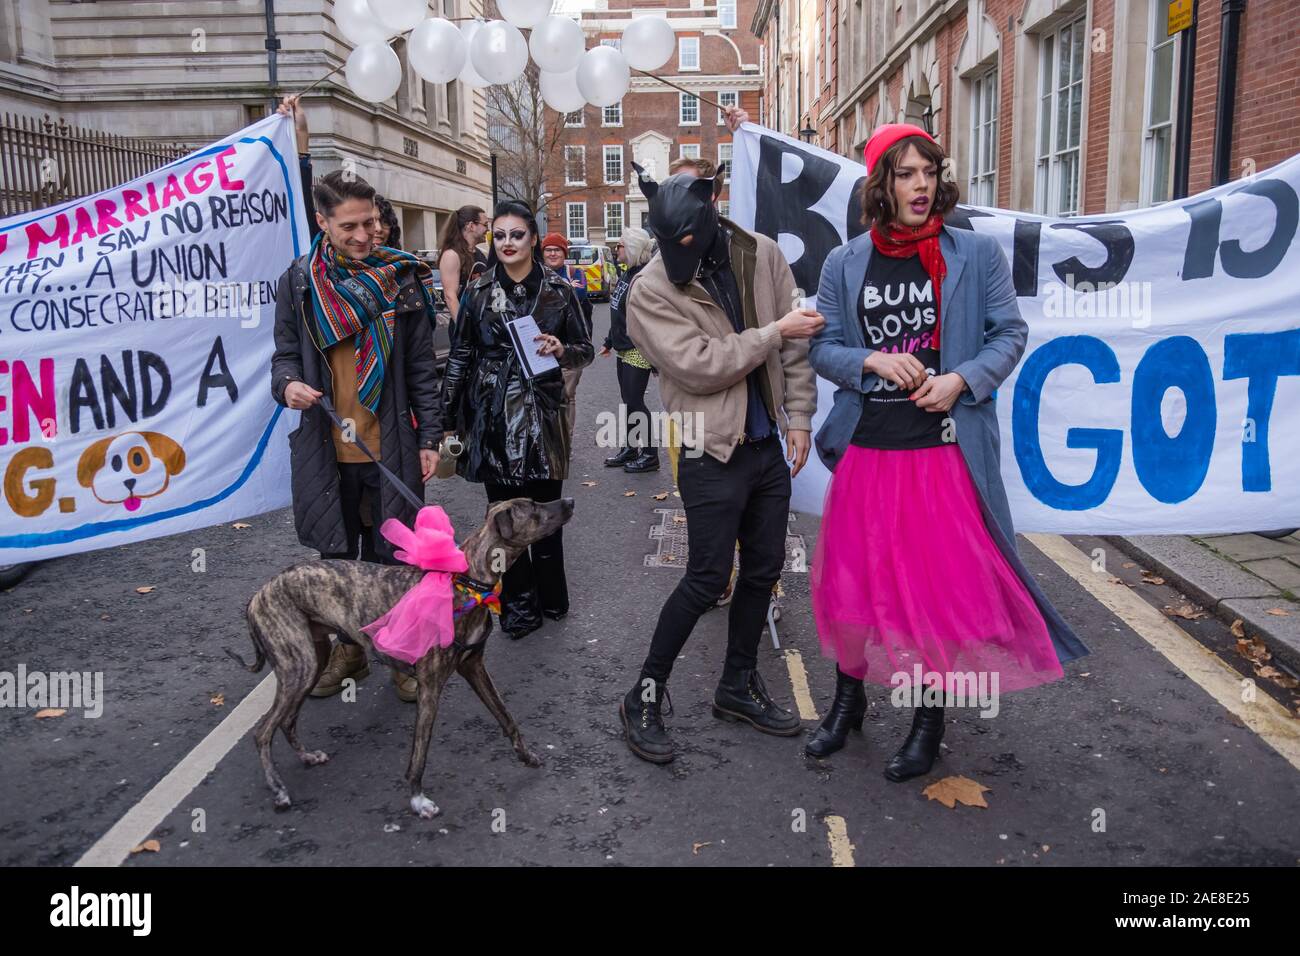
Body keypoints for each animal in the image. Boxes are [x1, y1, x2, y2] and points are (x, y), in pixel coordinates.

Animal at [228, 496, 574, 816]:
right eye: (533, 508)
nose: (569, 501)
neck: (466, 582)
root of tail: (257, 596)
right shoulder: (430, 687)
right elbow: (419, 753)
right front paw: (418, 800)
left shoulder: (475, 668)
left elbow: (506, 717)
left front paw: (526, 756)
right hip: (299, 667)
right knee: (263, 731)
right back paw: (278, 790)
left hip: (312, 661)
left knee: (286, 721)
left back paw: (307, 757)